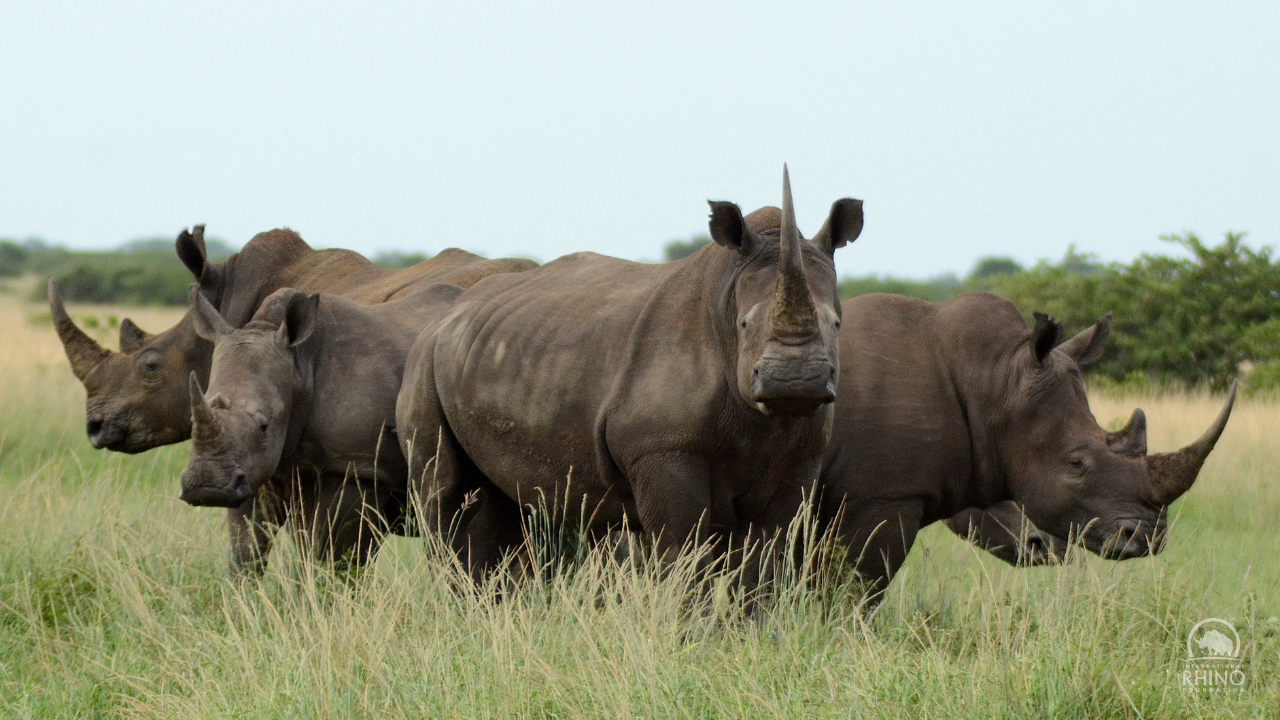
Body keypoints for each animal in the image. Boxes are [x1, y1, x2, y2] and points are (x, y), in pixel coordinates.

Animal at [177, 283, 463, 568]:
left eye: (264, 426)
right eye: (191, 421)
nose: (208, 487)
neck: (299, 367)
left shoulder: (356, 466)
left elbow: (334, 556)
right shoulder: (258, 466)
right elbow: (247, 547)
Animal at [394, 165, 865, 573]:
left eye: (836, 324)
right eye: (745, 324)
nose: (794, 381)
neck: (725, 296)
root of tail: (446, 316)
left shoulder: (802, 451)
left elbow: (767, 554)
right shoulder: (662, 448)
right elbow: (682, 550)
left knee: (500, 508)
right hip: (422, 365)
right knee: (445, 501)